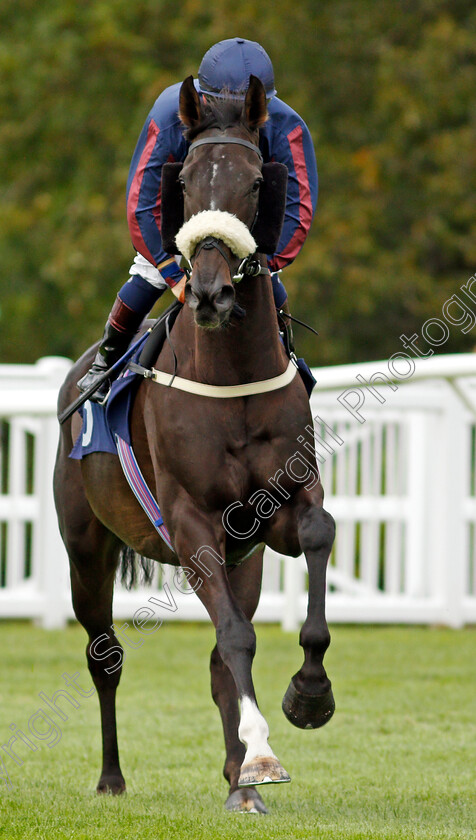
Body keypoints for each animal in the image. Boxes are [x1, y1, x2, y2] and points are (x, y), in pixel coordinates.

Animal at [54, 74, 336, 812]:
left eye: (256, 183)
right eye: (182, 179)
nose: (208, 293)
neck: (231, 375)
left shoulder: (273, 515)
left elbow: (317, 533)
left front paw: (309, 696)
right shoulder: (190, 522)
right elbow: (235, 636)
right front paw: (264, 756)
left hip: (245, 561)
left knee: (216, 661)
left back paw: (238, 780)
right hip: (86, 550)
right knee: (105, 657)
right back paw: (114, 777)